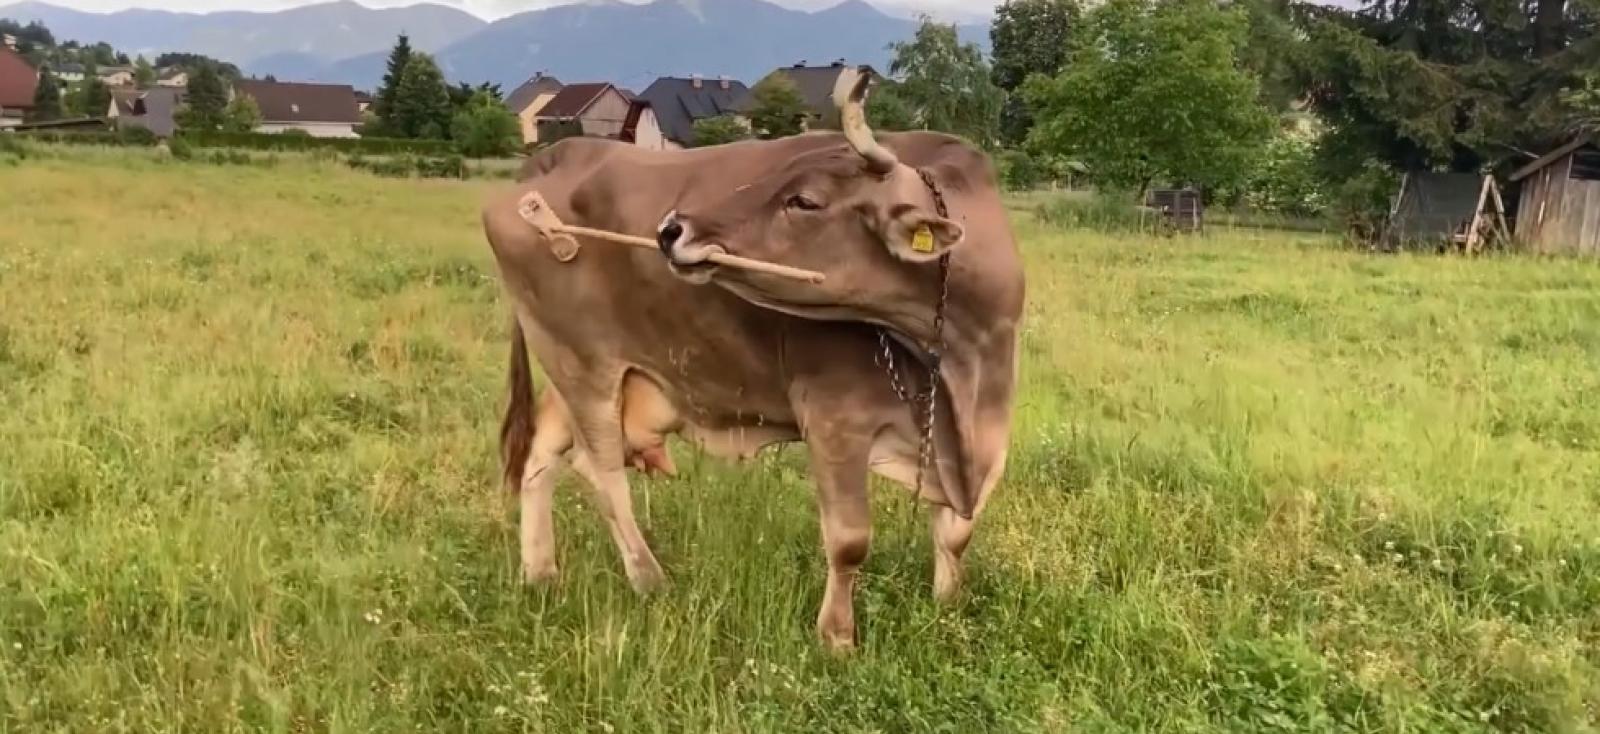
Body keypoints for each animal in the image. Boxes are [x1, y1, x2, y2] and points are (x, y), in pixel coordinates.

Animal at [481, 71, 1023, 650]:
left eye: (804, 199)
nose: (670, 229)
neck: (961, 368)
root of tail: (554, 156)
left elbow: (956, 534)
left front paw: (946, 607)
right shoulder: (834, 420)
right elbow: (850, 540)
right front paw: (837, 639)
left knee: (540, 455)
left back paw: (540, 573)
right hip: (583, 365)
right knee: (601, 473)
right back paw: (650, 580)